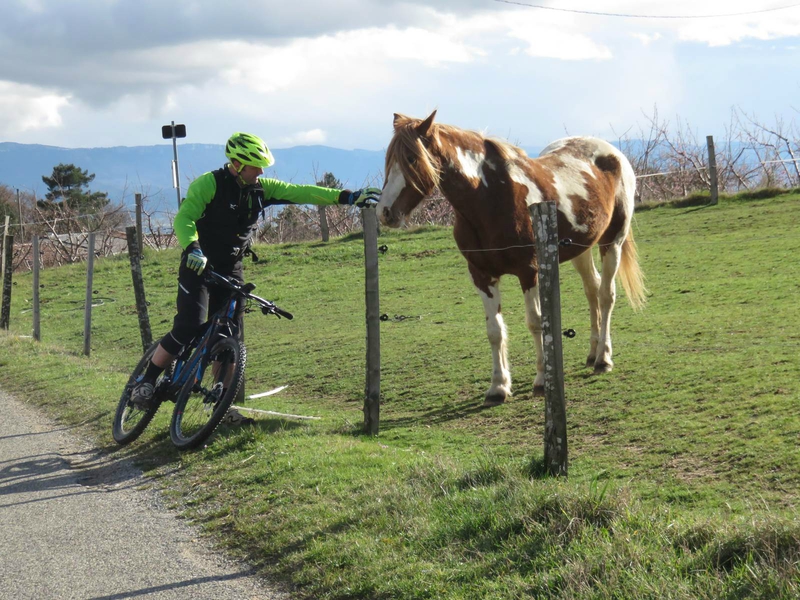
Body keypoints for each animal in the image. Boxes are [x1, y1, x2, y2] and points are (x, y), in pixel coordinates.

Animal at [378, 110, 648, 406]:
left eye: (411, 158)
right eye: (389, 159)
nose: (384, 212)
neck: (489, 199)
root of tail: (611, 153)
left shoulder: (528, 271)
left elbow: (535, 322)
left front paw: (541, 381)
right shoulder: (481, 275)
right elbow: (494, 330)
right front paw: (498, 386)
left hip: (613, 242)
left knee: (606, 294)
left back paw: (603, 358)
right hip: (581, 248)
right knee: (592, 289)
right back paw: (592, 353)